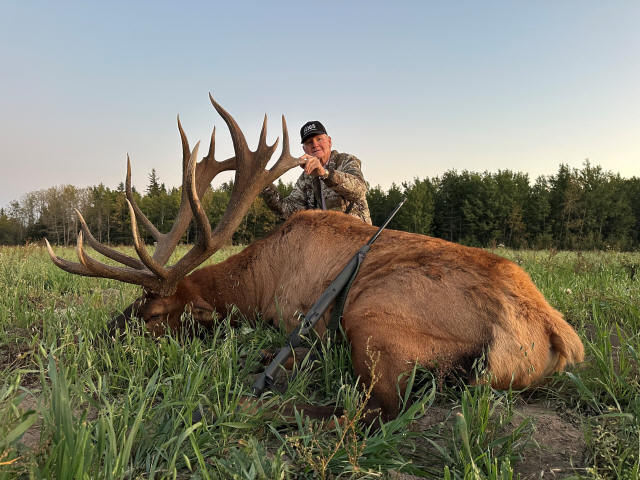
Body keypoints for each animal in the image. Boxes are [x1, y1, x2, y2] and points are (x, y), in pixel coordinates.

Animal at [46, 94, 585, 421]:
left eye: (155, 314)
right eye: (134, 304)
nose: (102, 337)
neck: (260, 280)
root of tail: (556, 337)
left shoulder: (292, 312)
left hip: (375, 317)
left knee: (374, 410)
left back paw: (261, 400)